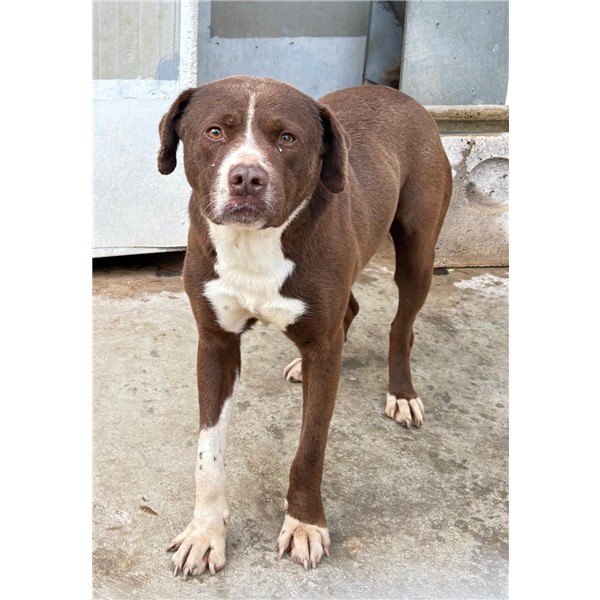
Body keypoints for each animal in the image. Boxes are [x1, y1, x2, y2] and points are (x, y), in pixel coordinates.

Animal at [158, 76, 452, 577]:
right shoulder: (215, 342)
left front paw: (305, 523)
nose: (247, 178)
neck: (254, 243)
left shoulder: (322, 348)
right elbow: (207, 452)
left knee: (402, 326)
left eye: (287, 138)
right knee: (349, 309)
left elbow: (311, 445)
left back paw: (401, 393)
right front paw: (205, 531)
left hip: (418, 250)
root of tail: (398, 95)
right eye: (215, 132)